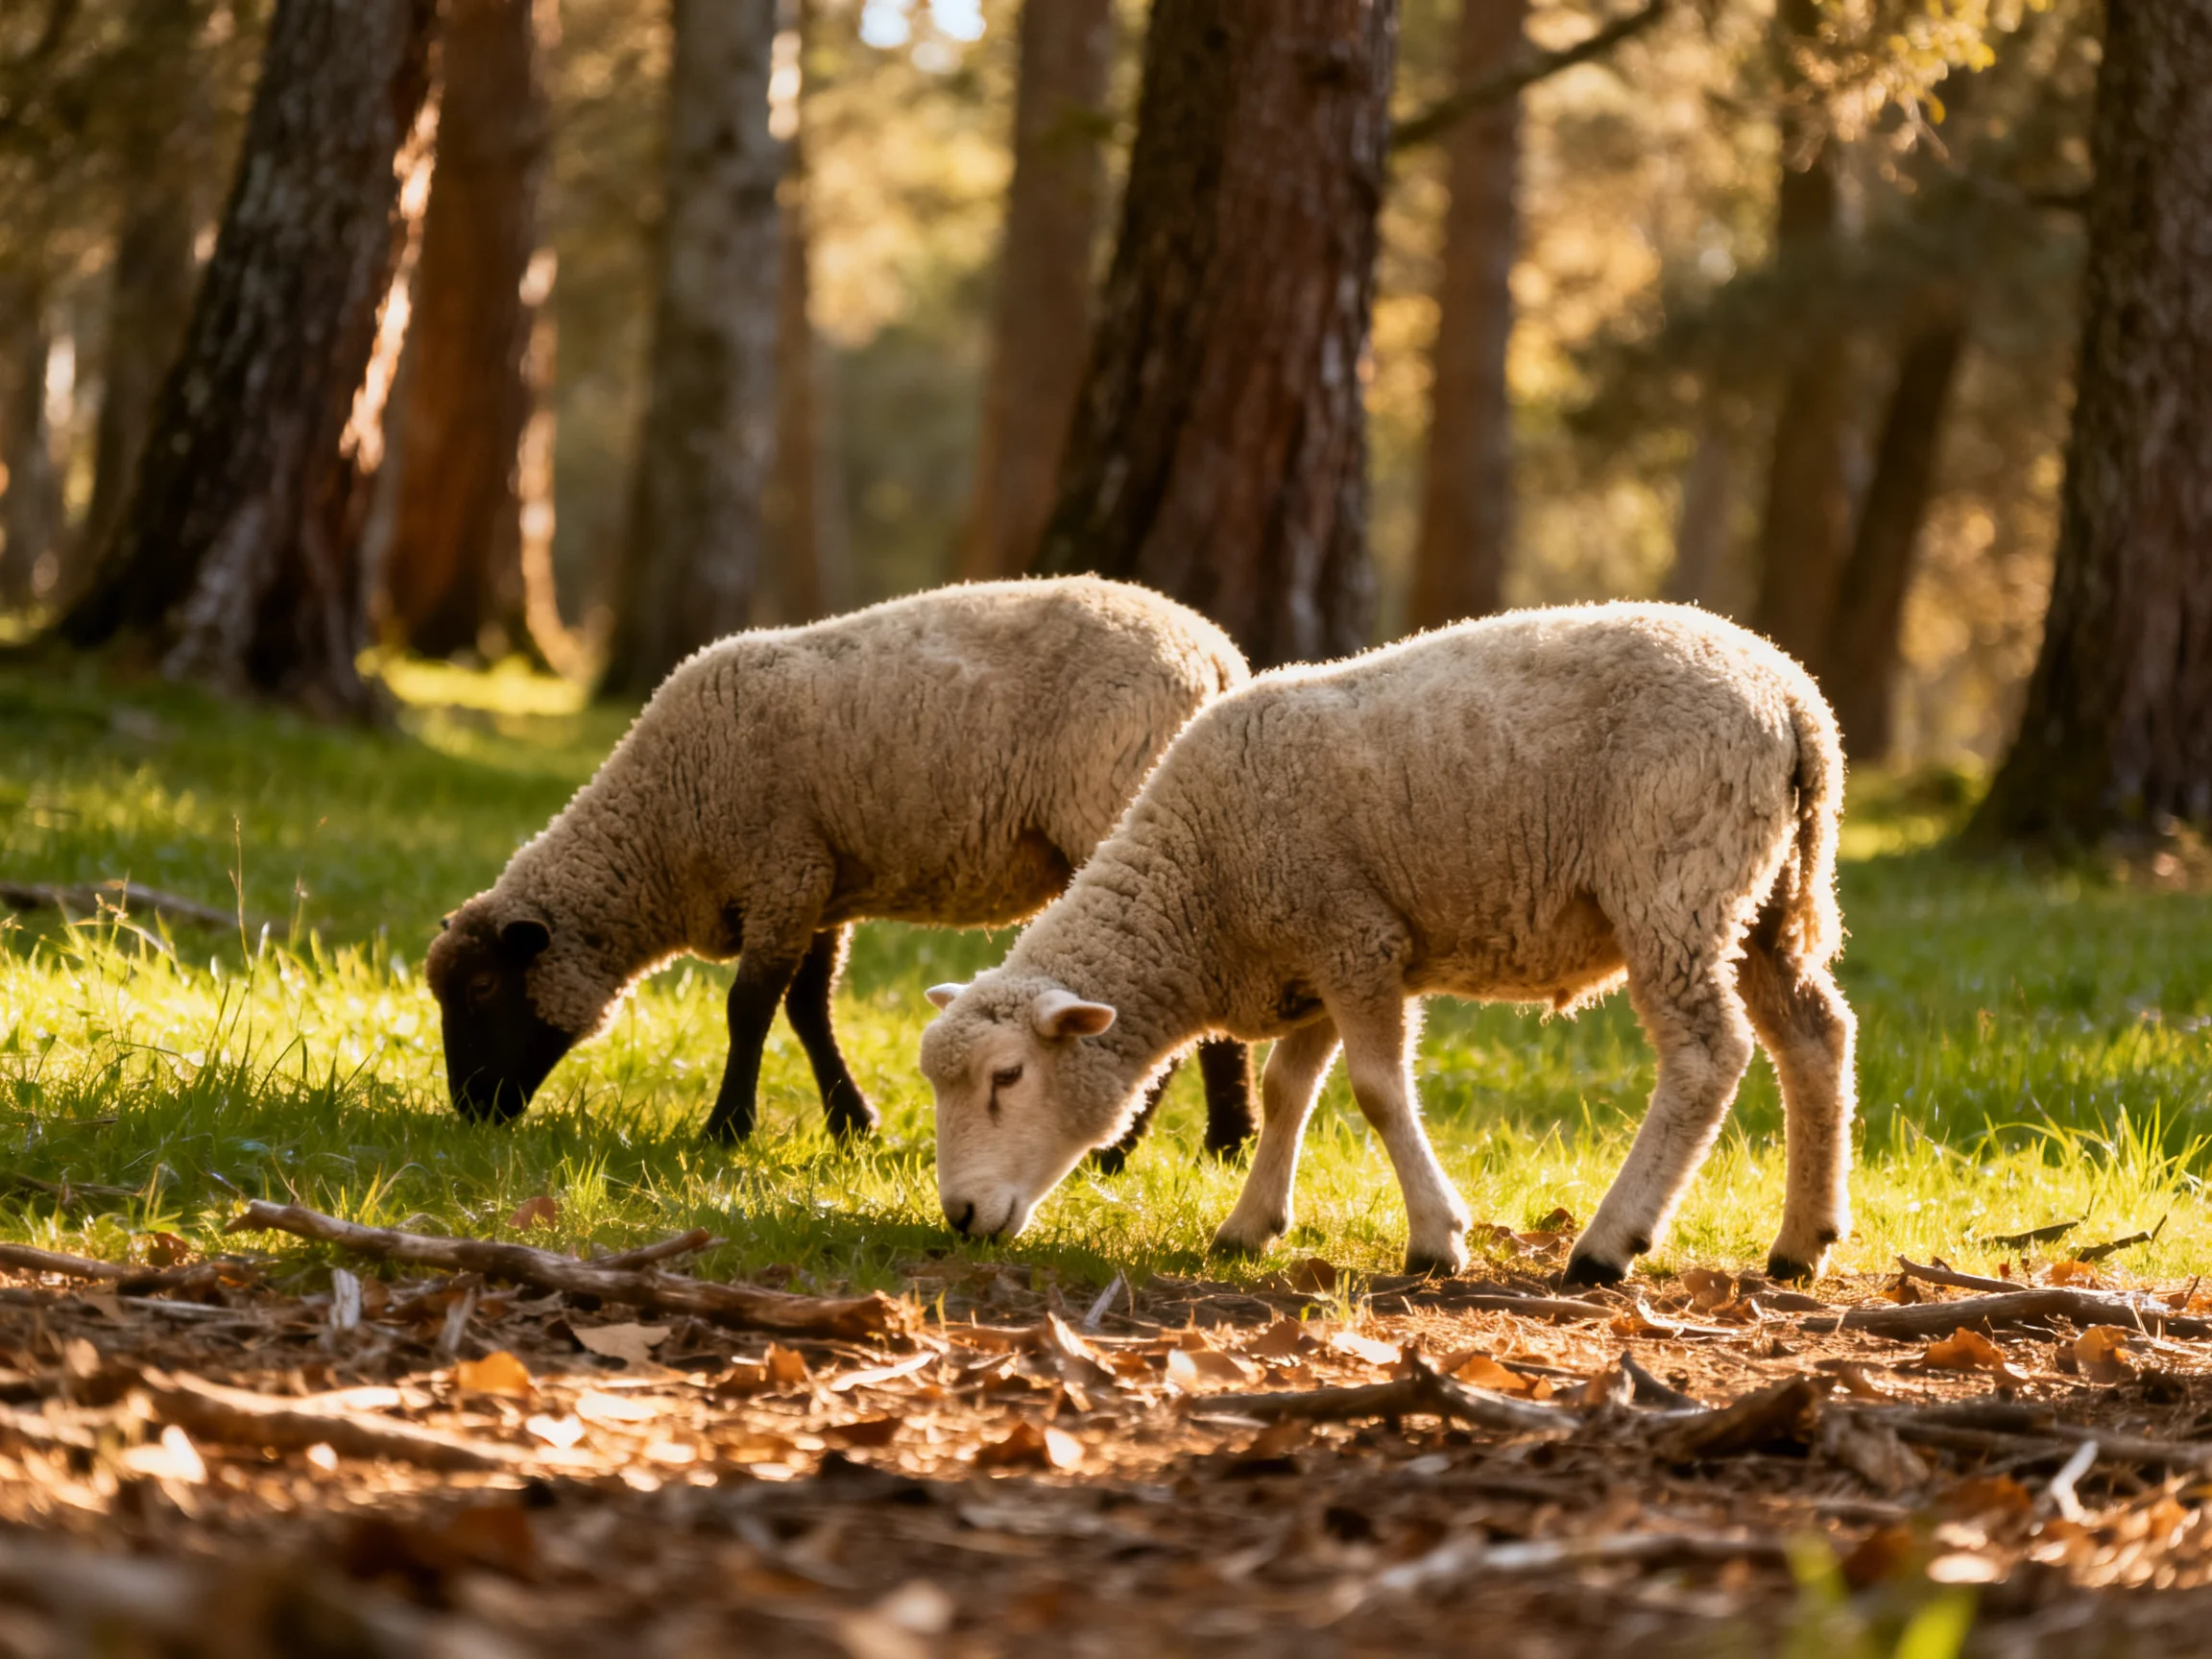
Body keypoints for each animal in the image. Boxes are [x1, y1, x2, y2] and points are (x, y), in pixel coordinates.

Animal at [427, 576, 1259, 1156]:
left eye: (483, 985)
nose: (470, 1111)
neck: (659, 832)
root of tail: (1218, 656)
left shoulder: (780, 872)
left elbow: (748, 1008)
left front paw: (726, 1129)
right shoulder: (819, 886)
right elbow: (808, 1010)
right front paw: (853, 1123)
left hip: (1128, 817)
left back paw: (1160, 1145)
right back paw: (1226, 1140)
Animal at [919, 601, 1857, 1284]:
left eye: (1008, 1077)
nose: (959, 1217)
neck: (1198, 890)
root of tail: (1793, 696)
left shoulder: (1356, 939)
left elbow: (1375, 1092)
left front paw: (1437, 1240)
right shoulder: (1312, 958)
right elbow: (1286, 1089)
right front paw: (1249, 1226)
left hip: (1674, 879)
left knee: (1708, 1055)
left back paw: (1606, 1245)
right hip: (1761, 897)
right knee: (1815, 1035)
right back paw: (1800, 1243)